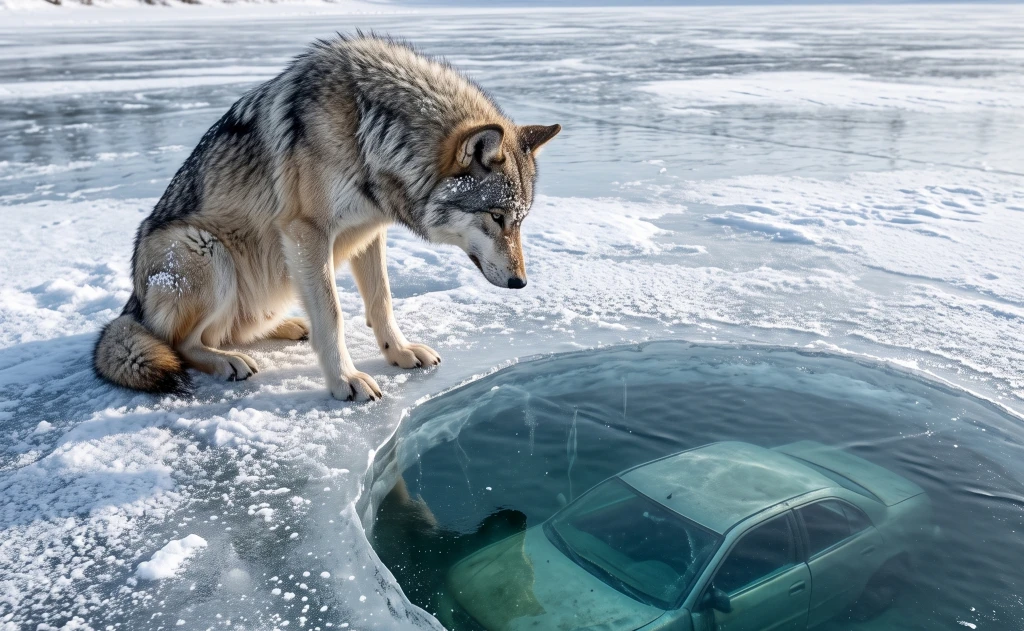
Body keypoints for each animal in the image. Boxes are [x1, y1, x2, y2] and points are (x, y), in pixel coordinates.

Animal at [93, 35, 560, 401]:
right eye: (497, 217)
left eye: (521, 220)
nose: (521, 283)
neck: (368, 129)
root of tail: (133, 304)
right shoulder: (308, 232)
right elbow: (333, 315)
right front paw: (345, 381)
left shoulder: (370, 230)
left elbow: (382, 300)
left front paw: (398, 353)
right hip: (203, 249)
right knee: (180, 343)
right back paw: (228, 362)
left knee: (229, 330)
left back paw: (287, 327)